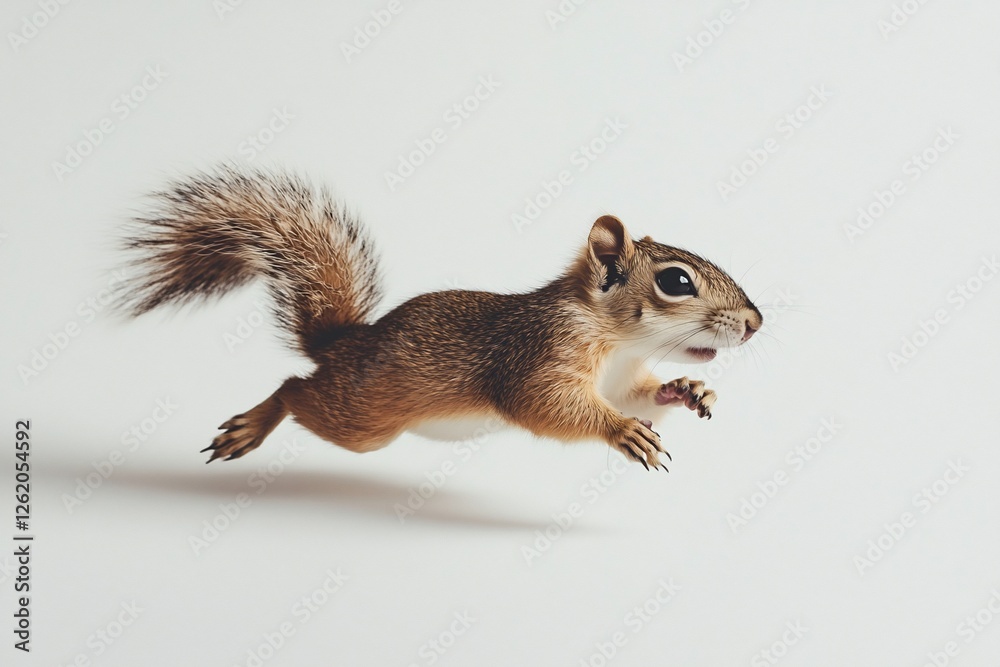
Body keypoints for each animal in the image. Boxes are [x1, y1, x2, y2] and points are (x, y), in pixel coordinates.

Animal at [121, 165, 762, 471]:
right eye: (676, 282)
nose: (755, 323)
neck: (616, 340)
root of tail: (341, 345)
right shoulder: (539, 352)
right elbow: (545, 404)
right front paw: (623, 431)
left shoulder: (621, 378)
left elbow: (638, 395)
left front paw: (688, 388)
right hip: (363, 420)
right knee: (291, 388)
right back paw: (253, 424)